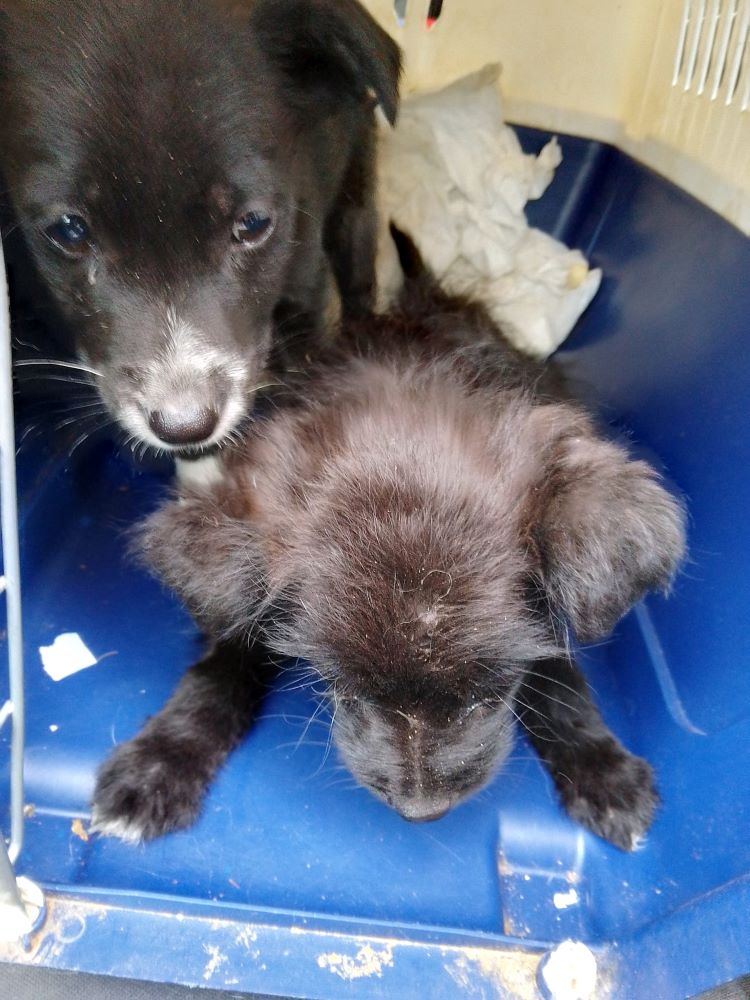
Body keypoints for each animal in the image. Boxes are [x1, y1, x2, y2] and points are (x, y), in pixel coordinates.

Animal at [92, 230, 688, 848]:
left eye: (492, 693)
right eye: (347, 691)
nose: (421, 812)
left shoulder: (544, 625)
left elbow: (561, 678)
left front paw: (604, 770)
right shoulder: (246, 595)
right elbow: (220, 666)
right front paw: (158, 762)